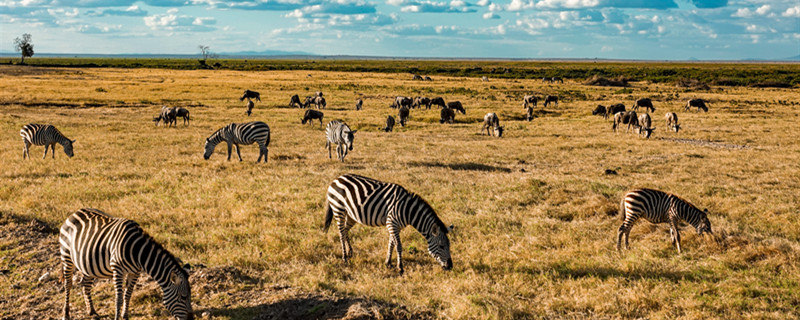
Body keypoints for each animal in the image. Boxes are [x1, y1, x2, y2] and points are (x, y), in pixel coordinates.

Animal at [59, 208, 194, 320]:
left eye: (190, 295)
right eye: (183, 297)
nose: (191, 319)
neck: (137, 251)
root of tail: (75, 212)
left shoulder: (135, 272)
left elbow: (128, 294)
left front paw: (125, 315)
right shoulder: (117, 269)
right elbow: (118, 298)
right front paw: (118, 317)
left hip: (88, 264)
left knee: (85, 284)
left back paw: (92, 311)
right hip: (66, 256)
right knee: (68, 284)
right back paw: (66, 314)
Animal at [322, 174, 454, 274]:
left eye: (449, 246)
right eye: (442, 246)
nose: (450, 266)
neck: (407, 210)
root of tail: (337, 178)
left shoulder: (395, 226)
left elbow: (391, 243)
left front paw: (388, 263)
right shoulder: (392, 223)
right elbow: (398, 245)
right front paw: (400, 268)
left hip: (351, 215)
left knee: (345, 230)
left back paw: (350, 252)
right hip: (338, 209)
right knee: (341, 233)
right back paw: (344, 258)